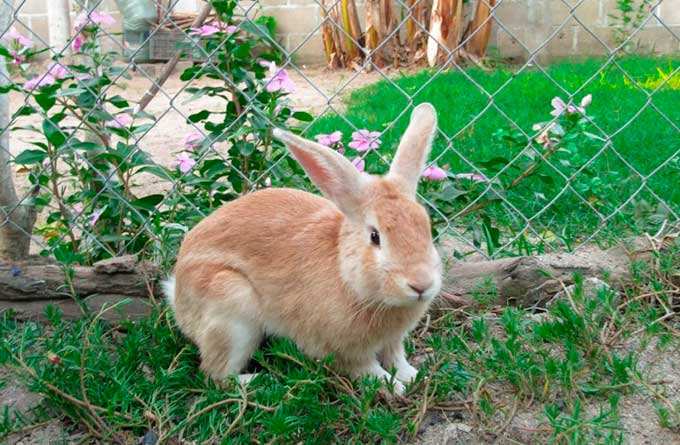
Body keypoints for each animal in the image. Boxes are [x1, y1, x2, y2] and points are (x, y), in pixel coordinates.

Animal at [164, 101, 440, 392]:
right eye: (375, 236)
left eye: (426, 226)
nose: (421, 284)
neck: (348, 276)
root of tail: (177, 296)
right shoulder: (345, 352)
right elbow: (368, 369)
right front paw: (395, 386)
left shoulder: (392, 342)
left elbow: (396, 357)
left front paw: (413, 375)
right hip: (230, 308)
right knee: (215, 375)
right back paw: (261, 379)